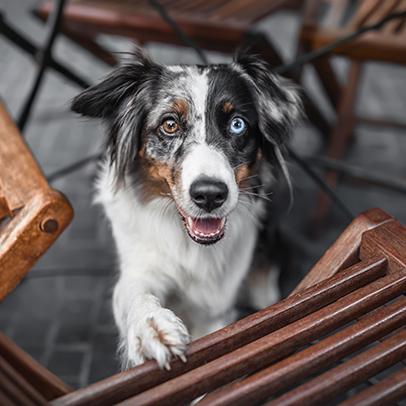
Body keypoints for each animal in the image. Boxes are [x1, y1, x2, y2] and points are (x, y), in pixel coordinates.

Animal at [71, 47, 302, 372]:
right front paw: (151, 327)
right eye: (170, 125)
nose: (209, 195)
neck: (191, 246)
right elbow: (134, 292)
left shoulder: (216, 309)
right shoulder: (141, 264)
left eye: (238, 124)